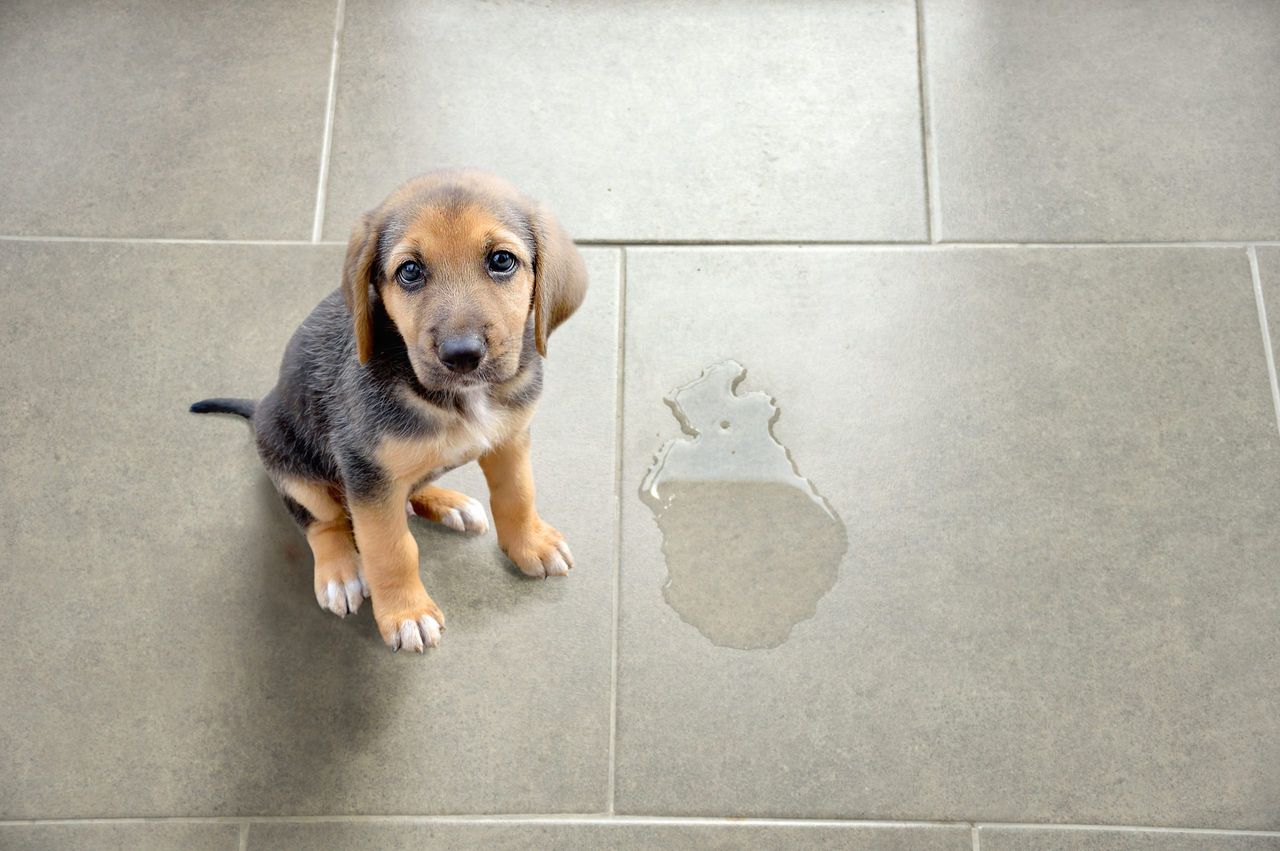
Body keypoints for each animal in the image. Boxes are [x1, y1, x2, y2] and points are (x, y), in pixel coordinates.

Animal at [190, 171, 588, 650]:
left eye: (502, 260)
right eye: (410, 271)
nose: (462, 355)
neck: (460, 399)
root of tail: (261, 405)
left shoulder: (509, 438)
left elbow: (518, 494)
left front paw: (530, 543)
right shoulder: (366, 472)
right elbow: (391, 549)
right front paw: (406, 613)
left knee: (411, 489)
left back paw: (449, 503)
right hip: (290, 462)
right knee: (322, 521)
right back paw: (340, 571)